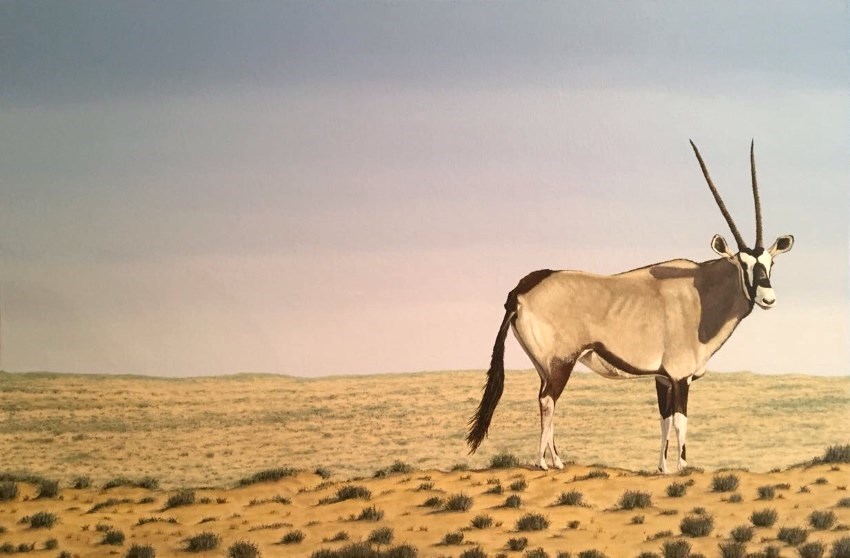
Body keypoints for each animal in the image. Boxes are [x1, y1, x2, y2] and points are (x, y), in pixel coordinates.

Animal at [468, 142, 792, 474]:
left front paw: (662, 467)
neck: (701, 291)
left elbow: (664, 421)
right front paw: (682, 467)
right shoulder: (680, 377)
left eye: (770, 263)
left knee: (546, 400)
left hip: (545, 367)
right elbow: (680, 421)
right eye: (743, 264)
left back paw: (557, 459)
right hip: (561, 363)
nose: (768, 298)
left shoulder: (662, 378)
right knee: (548, 401)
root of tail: (519, 291)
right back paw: (546, 463)